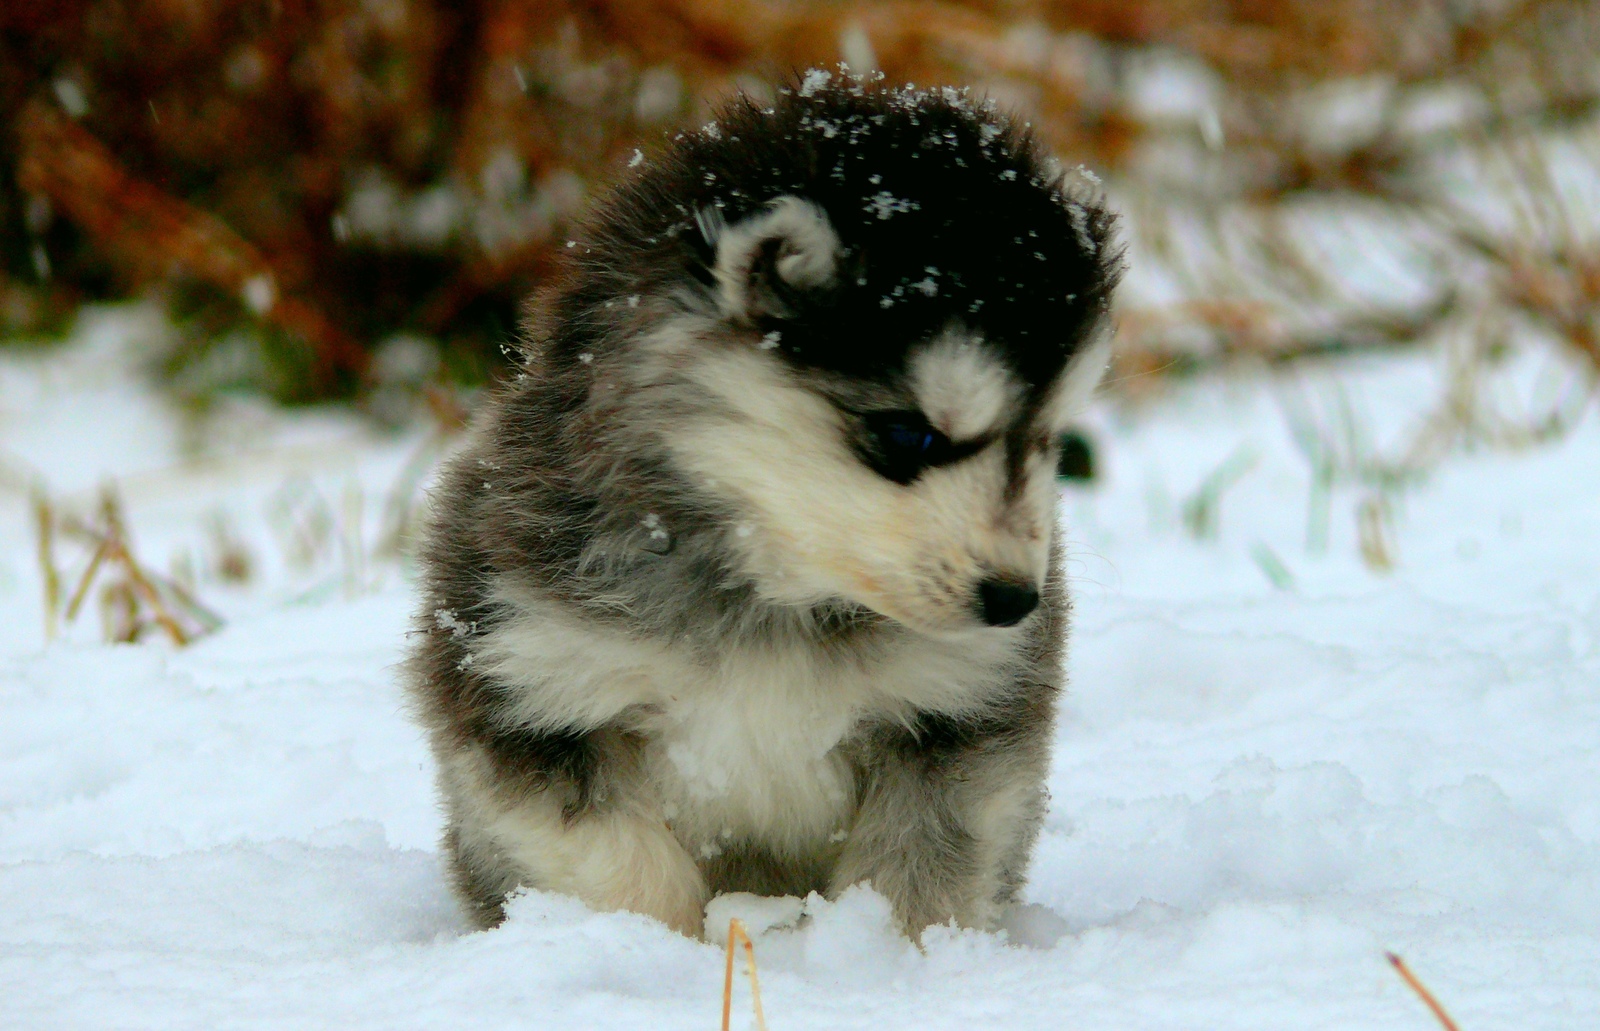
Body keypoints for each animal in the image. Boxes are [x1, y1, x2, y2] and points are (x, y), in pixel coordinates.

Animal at [406, 72, 1120, 941]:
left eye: (1049, 440)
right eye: (906, 433)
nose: (1016, 600)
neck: (775, 595)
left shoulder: (958, 711)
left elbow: (920, 868)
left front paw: (900, 954)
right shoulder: (526, 678)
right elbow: (622, 863)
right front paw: (650, 946)